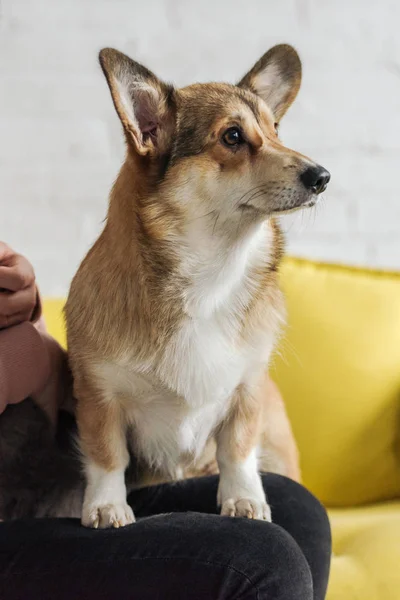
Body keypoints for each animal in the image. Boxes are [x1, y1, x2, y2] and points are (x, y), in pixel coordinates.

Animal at [65, 44, 328, 528]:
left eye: (275, 130)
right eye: (232, 137)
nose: (322, 177)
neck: (212, 273)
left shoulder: (246, 392)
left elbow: (237, 451)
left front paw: (244, 500)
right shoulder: (99, 396)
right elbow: (107, 456)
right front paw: (107, 507)